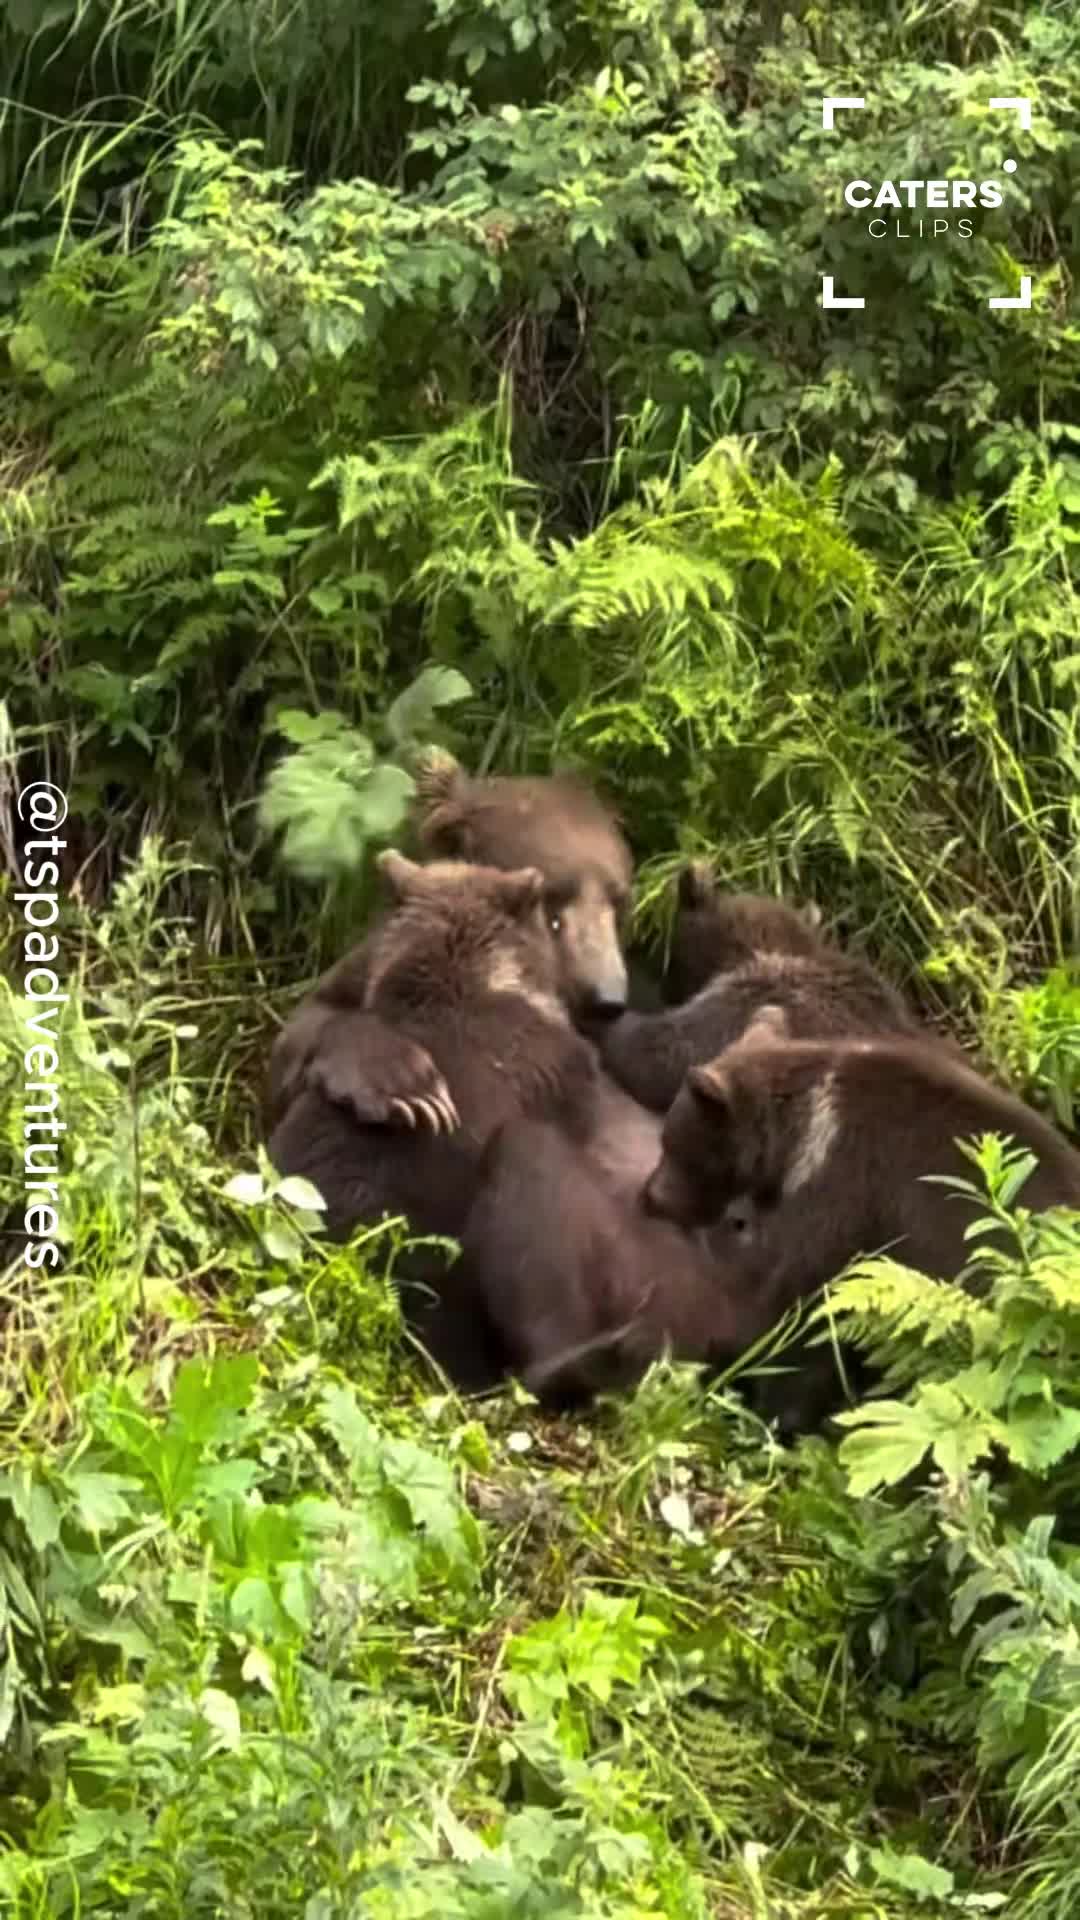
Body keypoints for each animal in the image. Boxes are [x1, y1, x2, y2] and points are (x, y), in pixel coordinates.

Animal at [265, 752, 634, 1137]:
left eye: (620, 902)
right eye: (553, 906)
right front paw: (407, 1084)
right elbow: (301, 1034)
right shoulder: (364, 963)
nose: (605, 998)